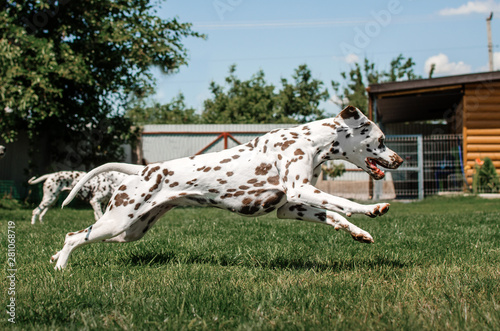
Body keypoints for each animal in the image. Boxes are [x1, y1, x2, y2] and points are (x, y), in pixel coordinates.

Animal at [51, 107, 402, 272]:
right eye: (381, 139)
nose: (399, 159)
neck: (308, 141)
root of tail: (142, 169)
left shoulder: (291, 206)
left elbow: (337, 217)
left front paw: (360, 233)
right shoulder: (300, 192)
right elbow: (344, 203)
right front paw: (372, 209)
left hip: (129, 231)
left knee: (78, 235)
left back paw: (54, 257)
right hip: (117, 222)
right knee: (73, 237)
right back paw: (60, 266)